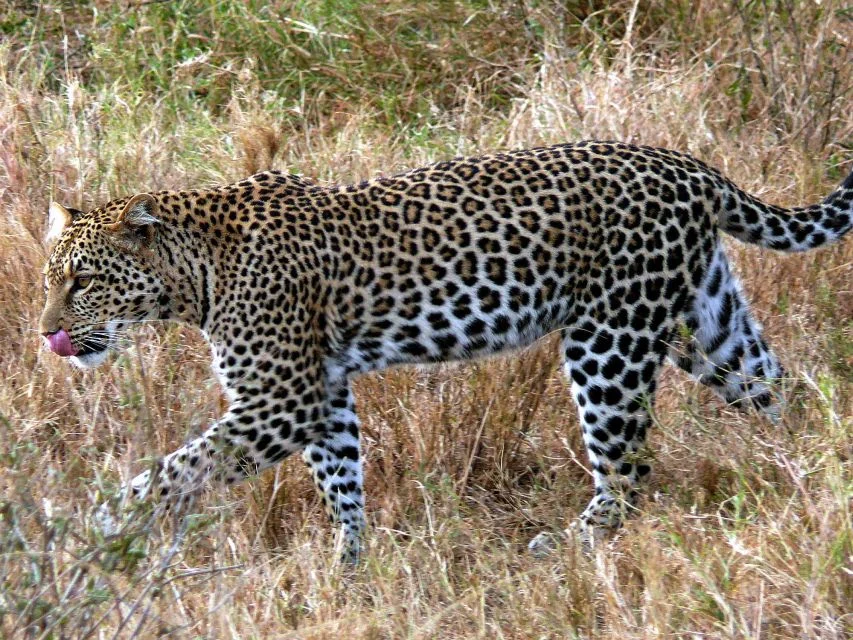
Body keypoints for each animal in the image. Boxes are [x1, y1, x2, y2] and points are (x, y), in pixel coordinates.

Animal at [39, 141, 852, 560]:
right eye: (52, 278)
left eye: (83, 280)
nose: (46, 334)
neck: (195, 275)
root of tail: (688, 166)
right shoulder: (322, 394)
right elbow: (342, 482)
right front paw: (349, 568)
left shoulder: (280, 401)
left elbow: (177, 470)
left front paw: (97, 528)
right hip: (705, 323)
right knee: (782, 389)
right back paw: (814, 479)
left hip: (609, 340)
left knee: (628, 471)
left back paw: (564, 546)